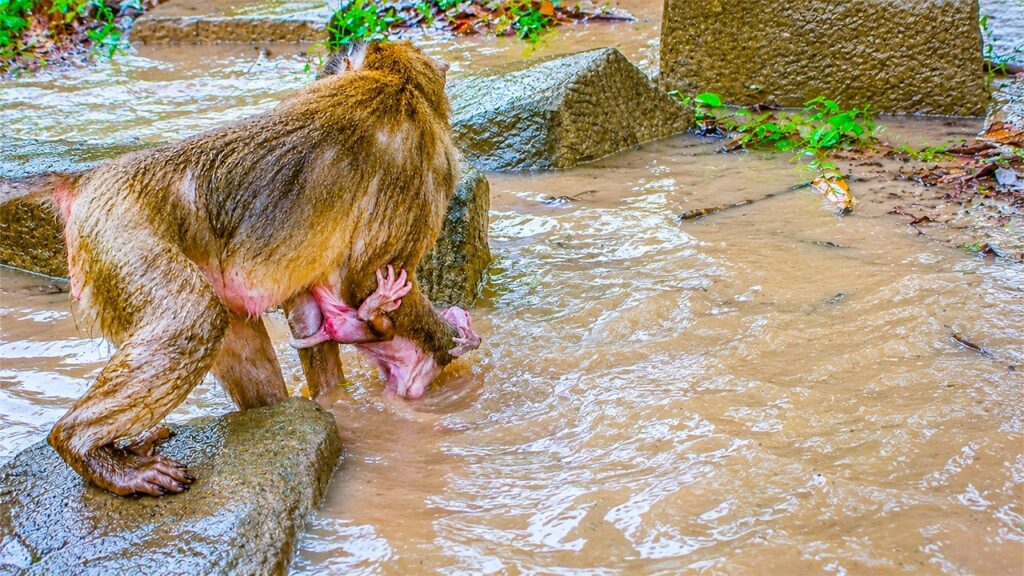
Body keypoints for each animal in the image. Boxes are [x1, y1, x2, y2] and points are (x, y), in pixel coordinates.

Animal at [33, 40, 480, 497]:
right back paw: (84, 447)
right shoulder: (425, 160)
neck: (394, 77)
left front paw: (334, 398)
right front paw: (449, 339)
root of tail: (86, 181)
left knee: (230, 326)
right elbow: (366, 278)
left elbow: (305, 304)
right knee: (196, 318)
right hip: (119, 231)